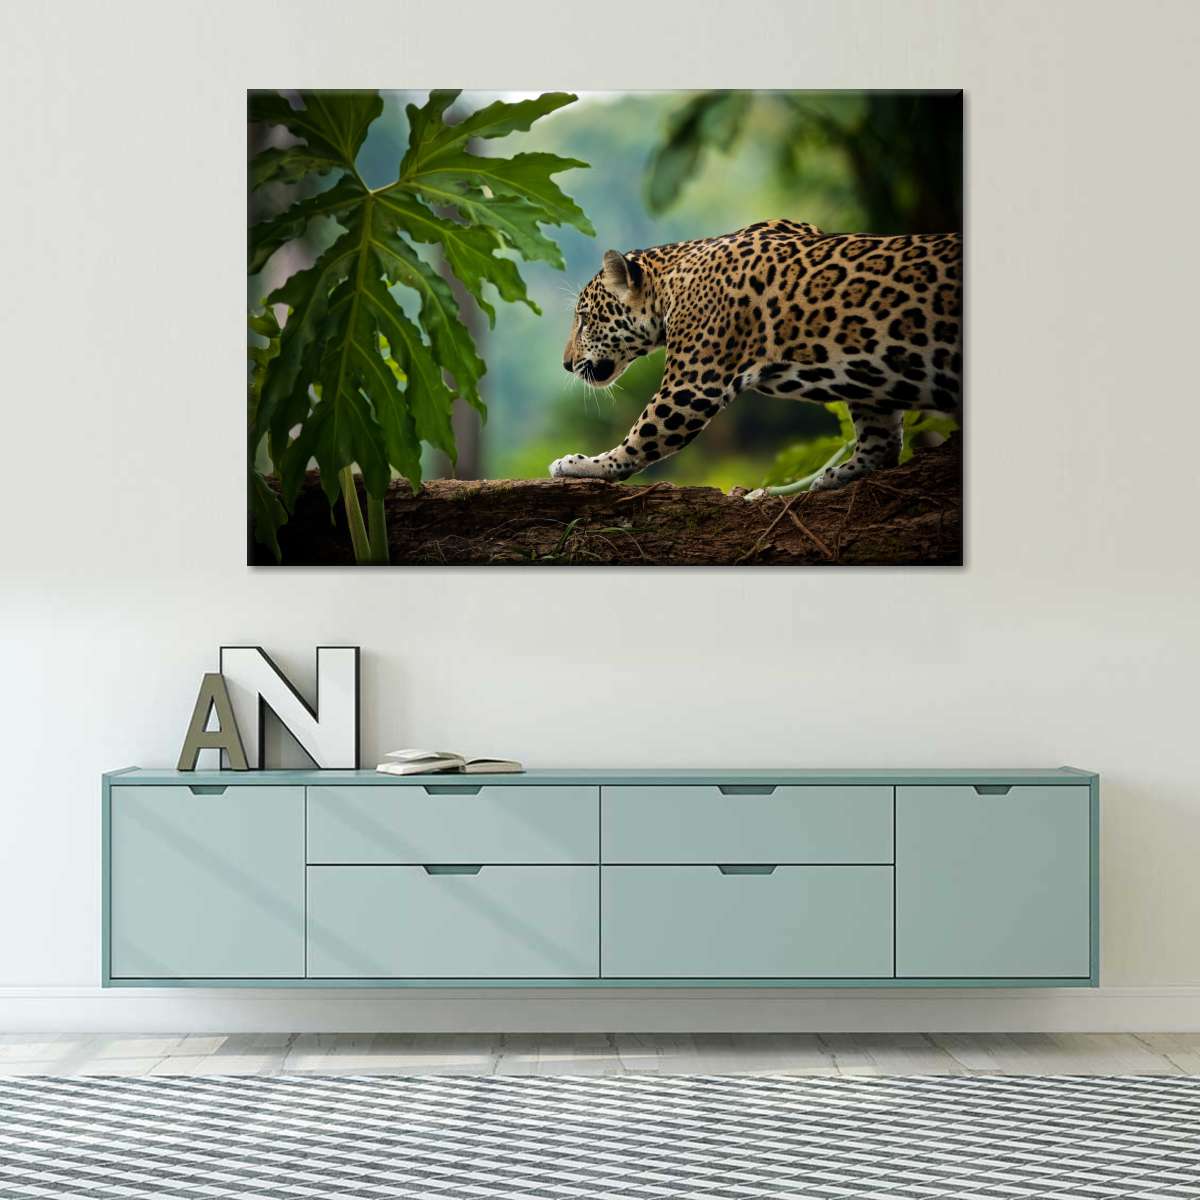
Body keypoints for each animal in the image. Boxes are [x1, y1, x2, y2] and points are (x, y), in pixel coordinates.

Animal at [552, 218, 961, 494]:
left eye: (585, 319)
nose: (566, 365)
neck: (671, 282)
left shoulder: (691, 387)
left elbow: (642, 437)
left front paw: (583, 465)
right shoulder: (870, 384)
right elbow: (881, 434)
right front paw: (846, 472)